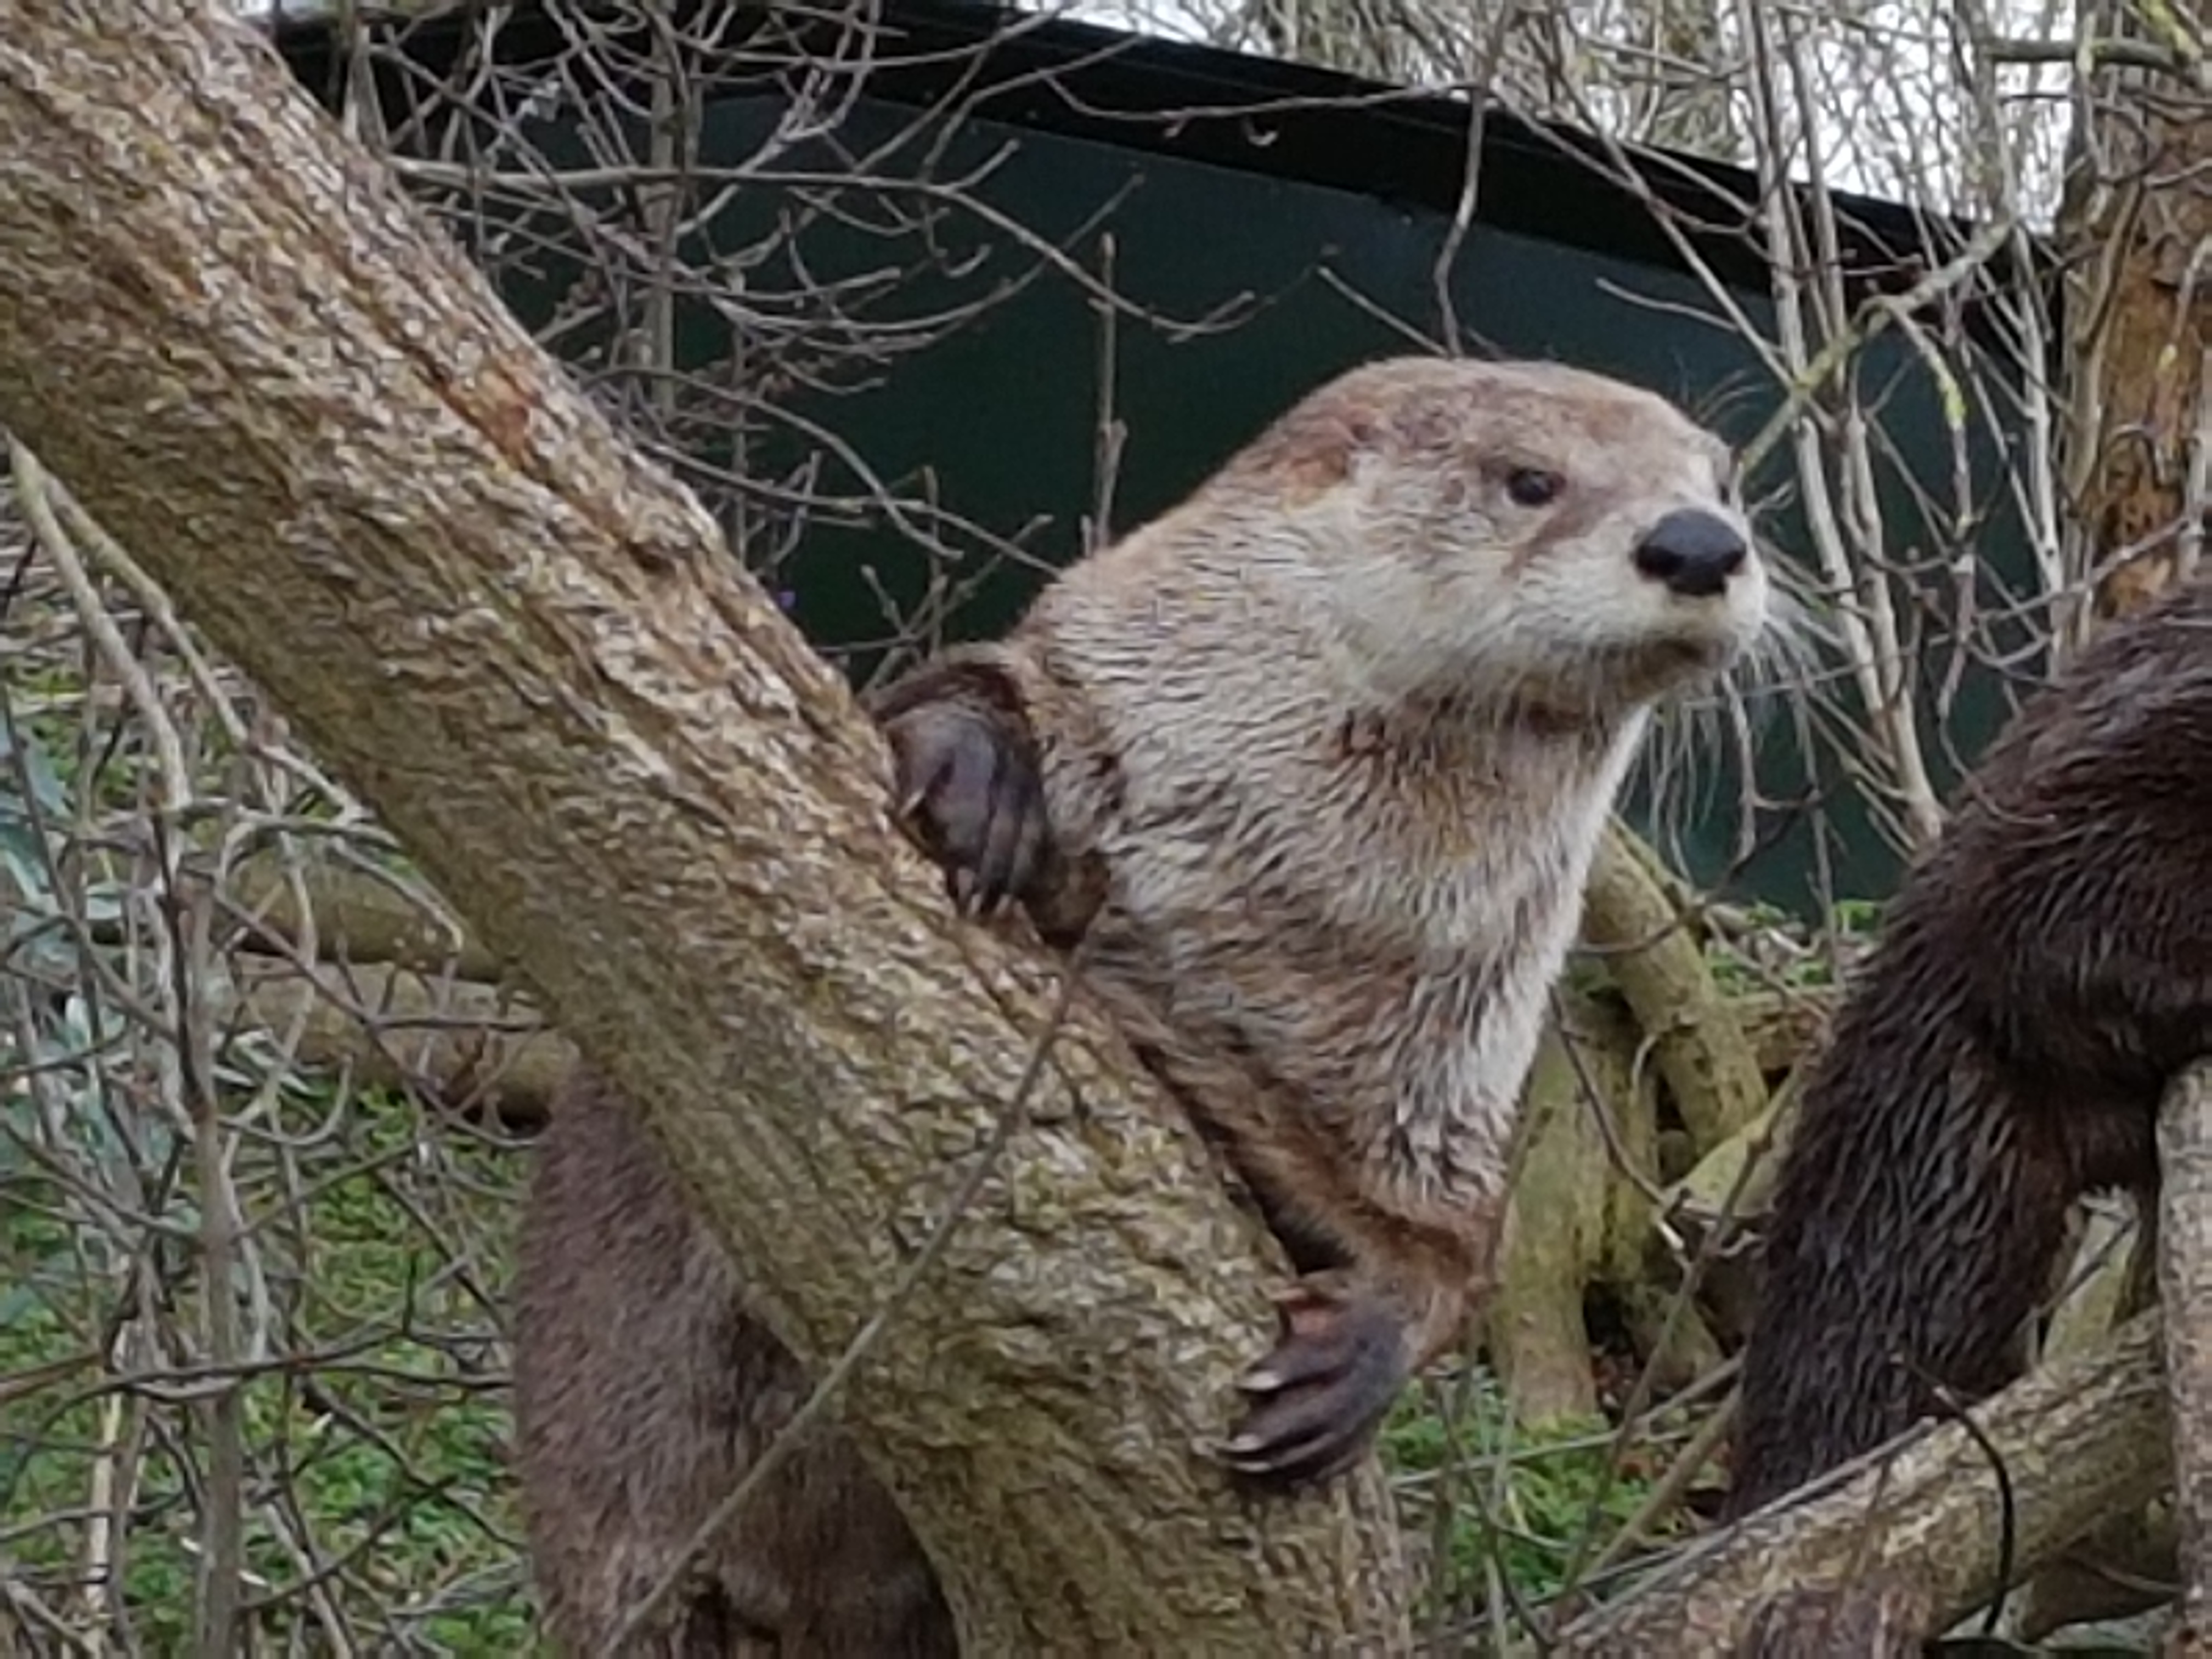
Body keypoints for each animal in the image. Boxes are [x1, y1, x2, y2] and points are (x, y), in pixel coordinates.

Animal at [514, 353, 1772, 1653]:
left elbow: (1452, 1234)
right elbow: (955, 685)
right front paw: (975, 775)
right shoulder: (1095, 690)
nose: (1698, 542)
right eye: (1530, 479)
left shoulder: (1451, 1054)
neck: (1288, 916)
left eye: (1722, 480)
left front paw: (1363, 1346)